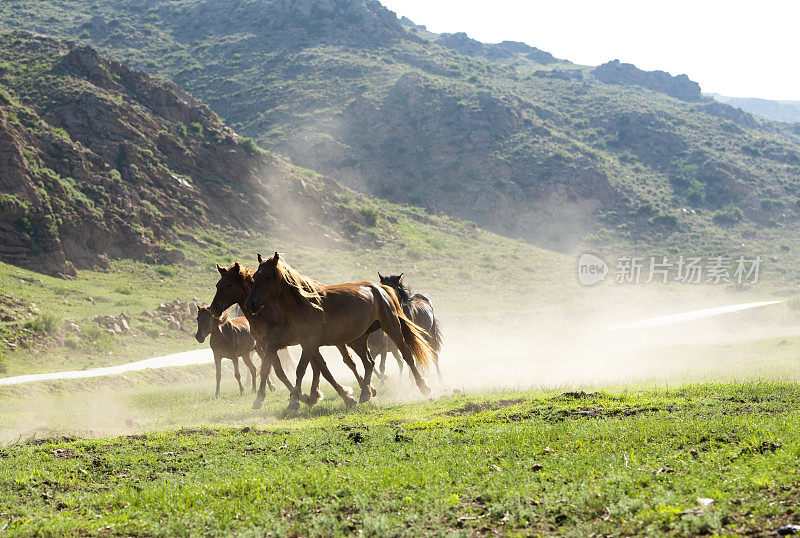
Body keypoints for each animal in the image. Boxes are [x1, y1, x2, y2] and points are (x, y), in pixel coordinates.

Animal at [211, 262, 376, 408]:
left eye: (229, 285)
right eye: (217, 285)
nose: (214, 308)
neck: (267, 312)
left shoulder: (276, 345)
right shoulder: (270, 346)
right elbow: (279, 372)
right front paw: (302, 397)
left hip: (343, 340)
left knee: (350, 362)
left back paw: (366, 389)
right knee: (326, 365)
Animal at [245, 251, 434, 406]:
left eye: (268, 277)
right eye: (255, 276)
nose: (250, 304)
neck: (306, 305)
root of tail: (380, 289)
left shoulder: (308, 343)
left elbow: (301, 369)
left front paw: (294, 401)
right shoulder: (306, 344)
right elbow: (315, 369)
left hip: (392, 327)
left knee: (406, 355)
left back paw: (424, 387)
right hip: (358, 339)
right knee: (369, 363)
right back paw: (365, 394)